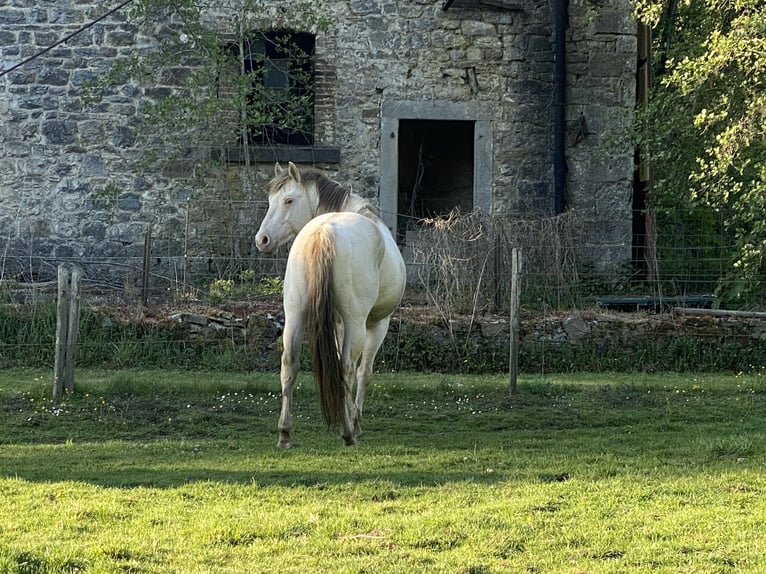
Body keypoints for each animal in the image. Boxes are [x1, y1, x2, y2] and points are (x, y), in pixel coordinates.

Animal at [255, 162, 408, 450]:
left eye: (288, 200)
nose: (262, 240)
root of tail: (324, 230)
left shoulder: (336, 325)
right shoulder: (377, 325)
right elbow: (363, 372)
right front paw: (356, 421)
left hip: (296, 317)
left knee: (289, 365)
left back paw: (285, 433)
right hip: (357, 324)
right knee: (347, 367)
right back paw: (348, 433)